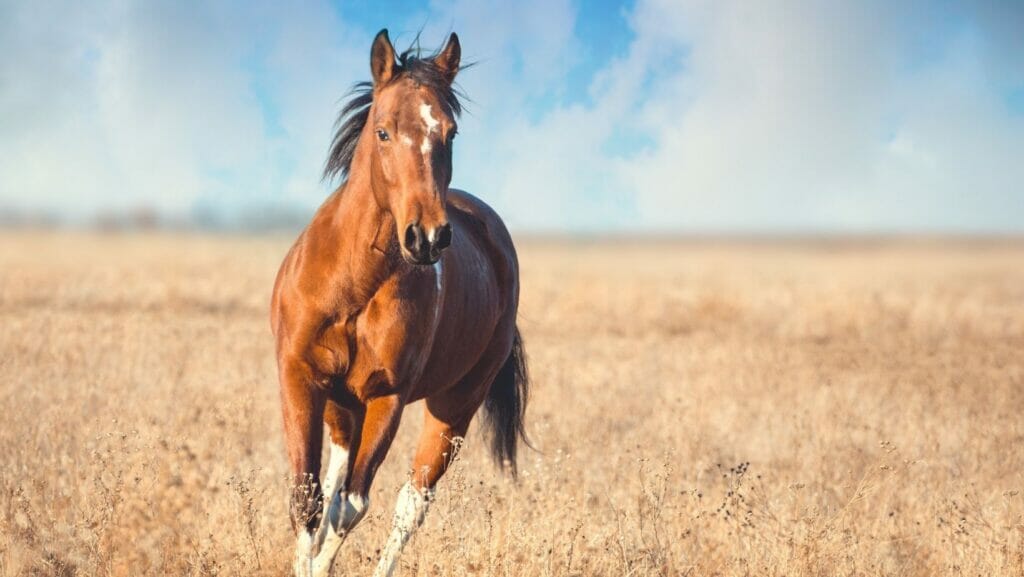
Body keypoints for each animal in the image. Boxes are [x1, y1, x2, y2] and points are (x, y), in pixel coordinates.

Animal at [270, 29, 529, 577]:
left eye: (451, 133)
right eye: (384, 131)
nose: (427, 237)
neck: (353, 284)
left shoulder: (386, 397)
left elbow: (351, 507)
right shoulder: (300, 376)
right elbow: (308, 500)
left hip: (453, 408)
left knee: (410, 504)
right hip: (342, 406)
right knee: (333, 483)